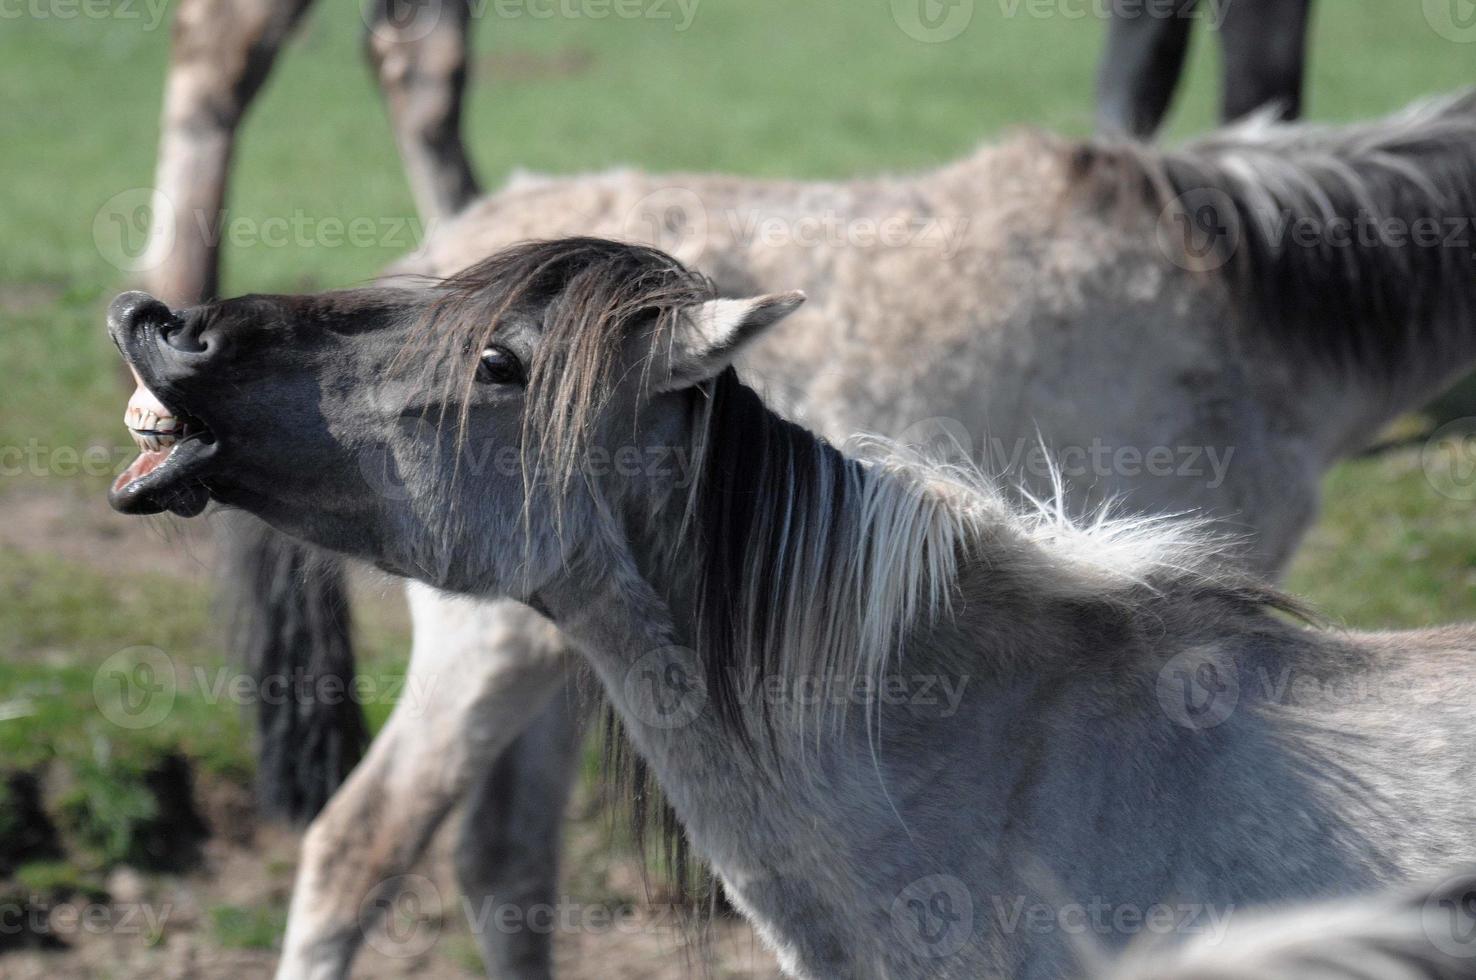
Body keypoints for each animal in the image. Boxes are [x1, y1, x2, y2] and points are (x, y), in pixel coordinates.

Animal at [199, 93, 1476, 980]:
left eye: (497, 356)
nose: (190, 340)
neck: (1231, 296)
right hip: (492, 651)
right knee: (359, 849)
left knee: (498, 860)